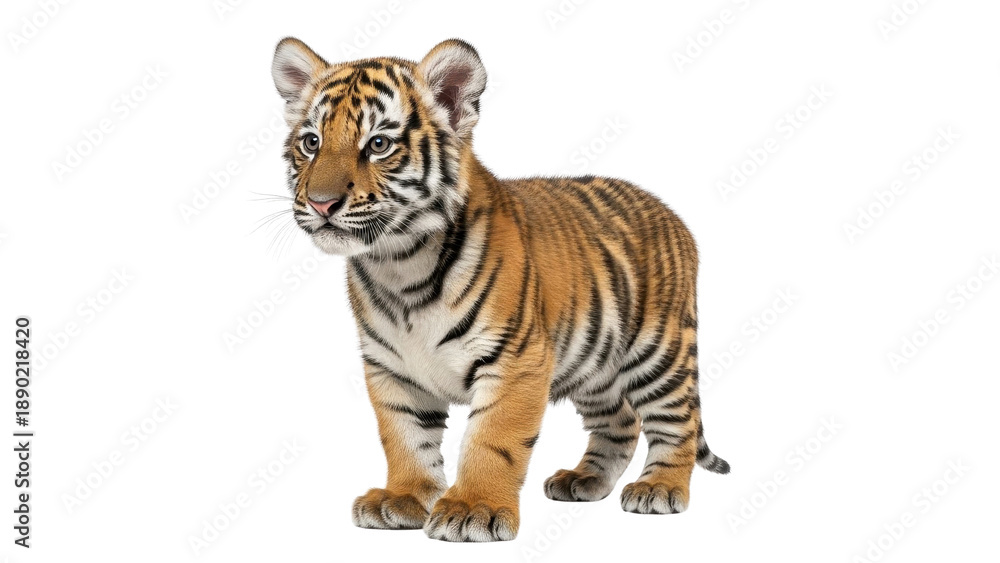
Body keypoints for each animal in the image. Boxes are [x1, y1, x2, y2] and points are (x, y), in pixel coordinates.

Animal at [270, 37, 730, 542]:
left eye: (378, 144)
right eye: (311, 142)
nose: (321, 203)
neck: (398, 265)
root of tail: (672, 213)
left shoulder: (515, 360)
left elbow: (492, 439)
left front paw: (473, 508)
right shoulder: (391, 368)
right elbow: (404, 437)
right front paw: (403, 497)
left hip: (659, 351)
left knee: (677, 422)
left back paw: (660, 488)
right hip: (595, 367)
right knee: (622, 422)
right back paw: (584, 480)